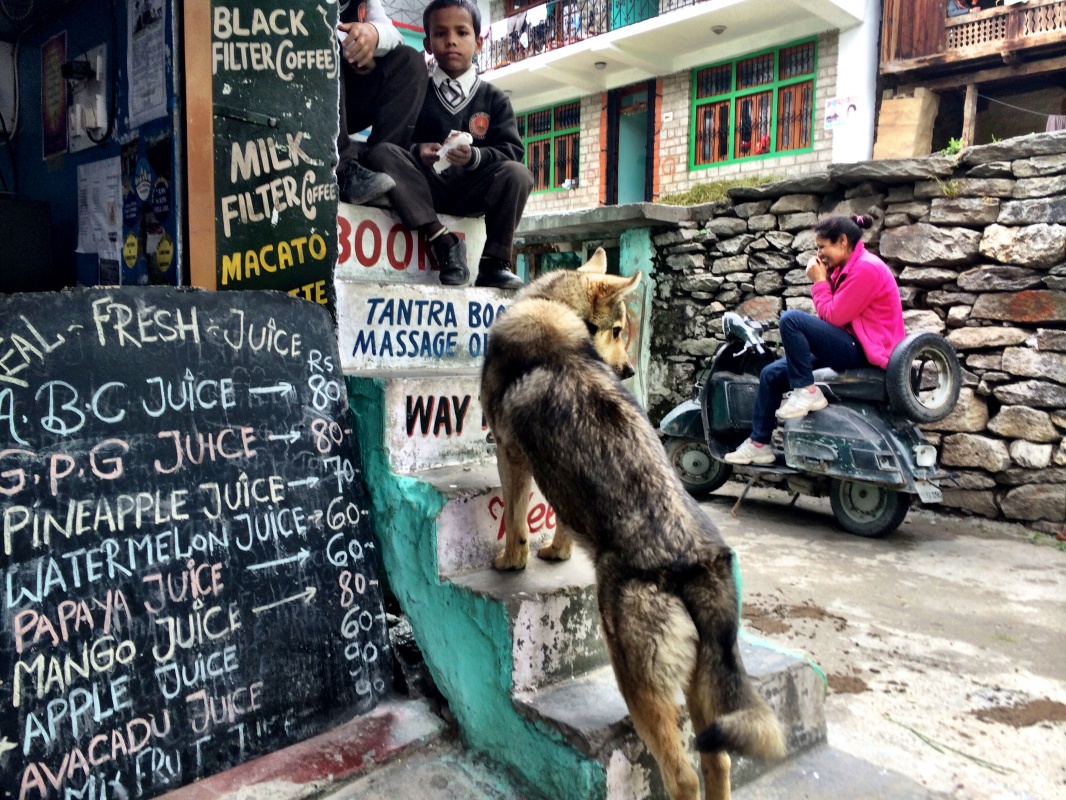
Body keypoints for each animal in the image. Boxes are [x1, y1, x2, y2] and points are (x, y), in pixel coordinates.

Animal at [480, 248, 785, 800]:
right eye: (619, 329)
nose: (623, 370)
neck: (553, 310)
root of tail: (697, 563)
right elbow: (559, 520)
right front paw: (556, 552)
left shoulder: (511, 454)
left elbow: (514, 517)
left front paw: (511, 561)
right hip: (702, 691)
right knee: (718, 764)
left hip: (638, 682)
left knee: (682, 776)